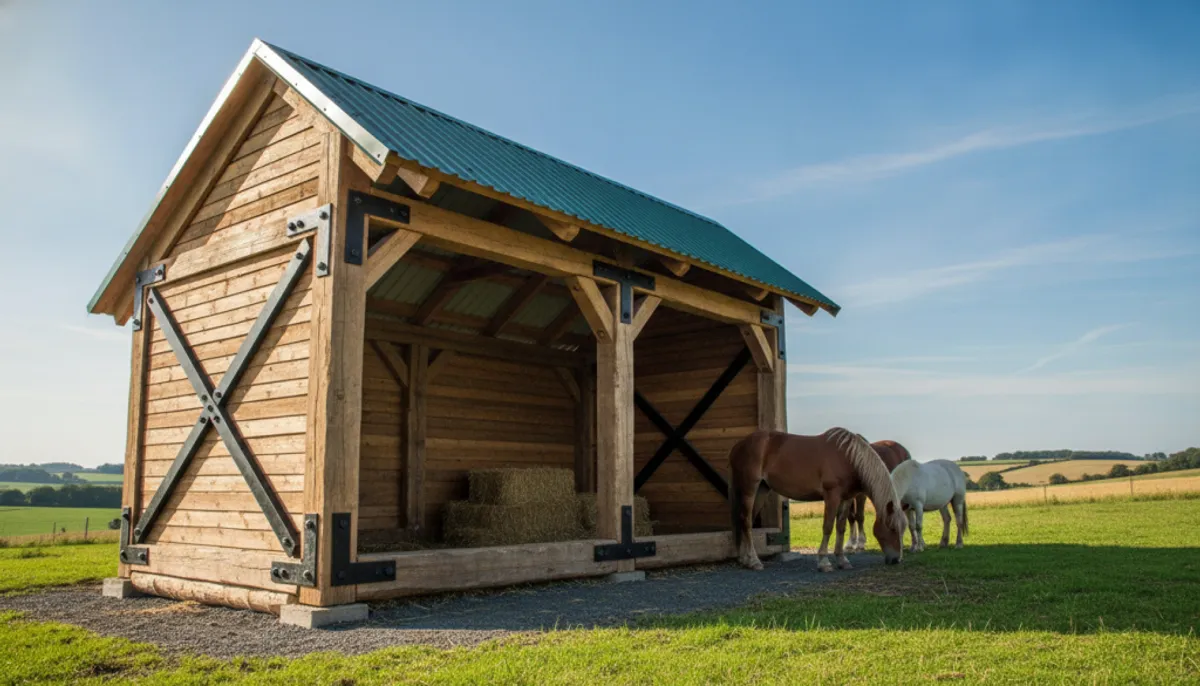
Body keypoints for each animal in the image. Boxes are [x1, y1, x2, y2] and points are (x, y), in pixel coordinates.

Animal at [728, 427, 908, 572]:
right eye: (892, 528)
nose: (896, 560)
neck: (848, 457)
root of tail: (738, 446)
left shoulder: (846, 499)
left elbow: (841, 527)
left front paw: (842, 560)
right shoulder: (832, 496)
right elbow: (828, 527)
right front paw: (824, 562)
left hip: (762, 489)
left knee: (746, 521)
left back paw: (745, 559)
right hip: (749, 488)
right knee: (745, 521)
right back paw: (754, 561)